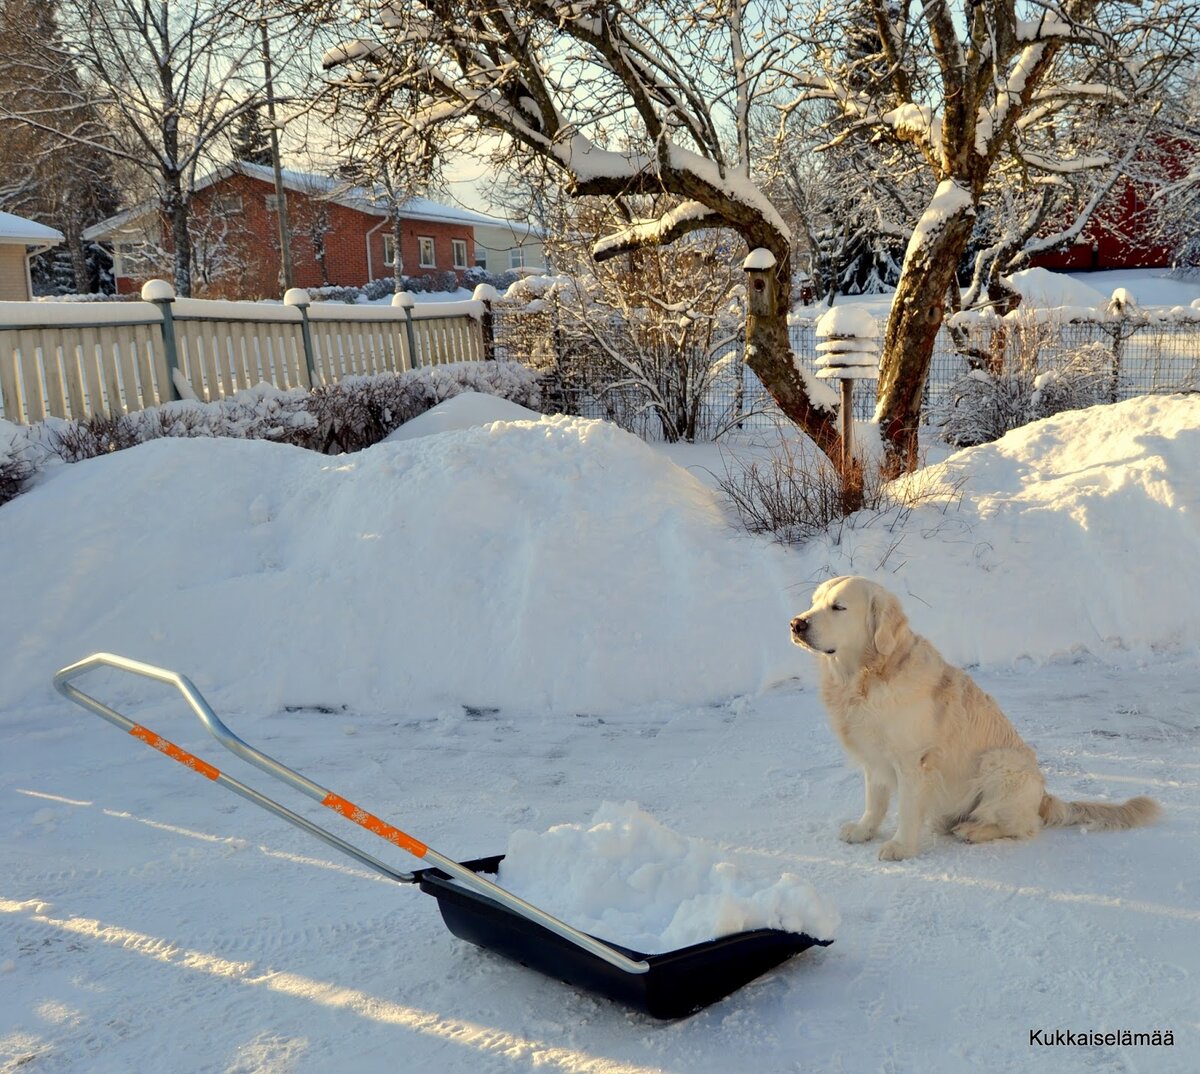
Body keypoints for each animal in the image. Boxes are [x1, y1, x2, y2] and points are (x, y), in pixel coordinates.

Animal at [792, 576, 1156, 859]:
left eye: (839, 607)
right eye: (814, 602)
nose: (796, 624)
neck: (866, 678)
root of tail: (1044, 798)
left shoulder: (913, 762)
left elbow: (906, 810)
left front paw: (901, 847)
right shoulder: (874, 757)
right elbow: (875, 801)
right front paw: (863, 830)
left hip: (1000, 764)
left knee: (1022, 827)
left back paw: (974, 831)